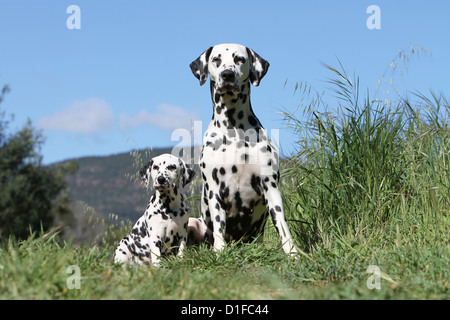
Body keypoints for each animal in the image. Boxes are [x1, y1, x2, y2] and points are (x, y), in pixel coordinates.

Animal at [190, 43, 298, 256]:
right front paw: (220, 251)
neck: (234, 131)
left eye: (239, 59)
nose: (227, 75)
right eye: (216, 59)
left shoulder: (270, 185)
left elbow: (282, 224)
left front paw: (292, 252)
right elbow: (219, 225)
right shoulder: (214, 189)